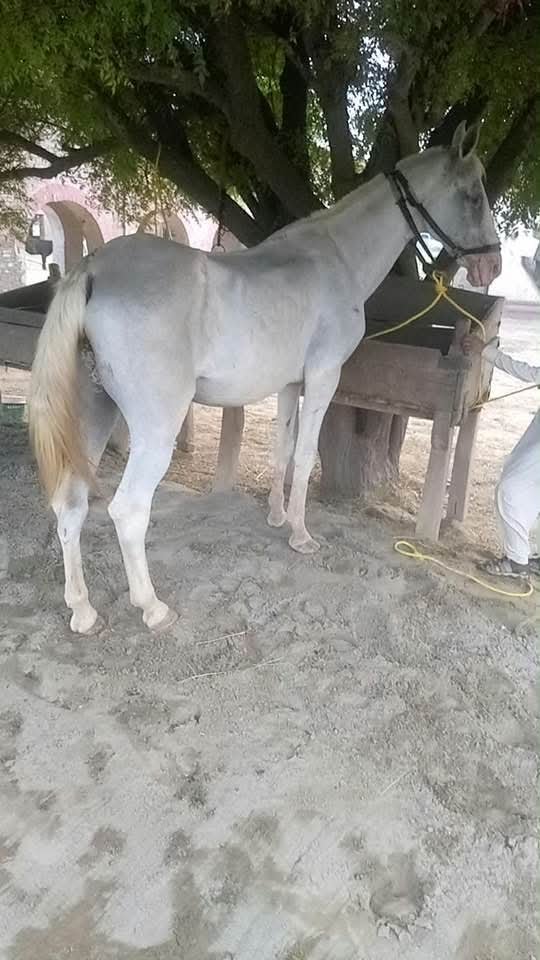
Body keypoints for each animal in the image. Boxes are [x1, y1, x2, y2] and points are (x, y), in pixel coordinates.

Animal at [28, 122, 501, 634]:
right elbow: (306, 454)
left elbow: (283, 449)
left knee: (70, 504)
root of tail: (93, 268)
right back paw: (152, 607)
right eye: (473, 195)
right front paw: (300, 534)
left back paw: (82, 609)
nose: (492, 265)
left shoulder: (290, 384)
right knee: (128, 509)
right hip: (155, 429)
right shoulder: (323, 376)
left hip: (93, 414)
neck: (335, 258)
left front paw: (277, 517)